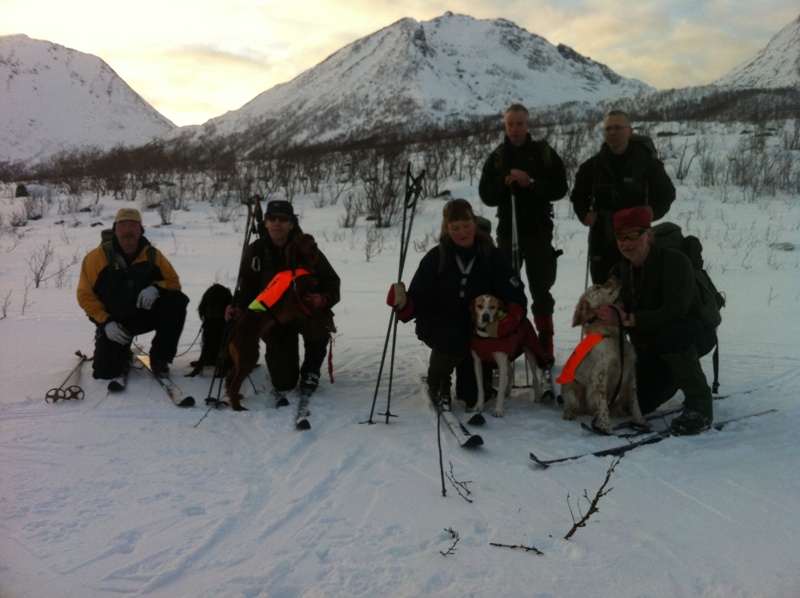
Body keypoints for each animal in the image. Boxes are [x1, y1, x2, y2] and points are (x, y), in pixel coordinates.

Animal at [225, 234, 334, 412]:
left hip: (241, 357)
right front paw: (330, 323)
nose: (316, 243)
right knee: (233, 382)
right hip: (249, 355)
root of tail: (234, 332)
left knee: (229, 379)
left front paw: (330, 319)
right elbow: (317, 311)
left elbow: (321, 307)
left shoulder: (307, 297)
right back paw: (237, 407)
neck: (298, 266)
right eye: (305, 240)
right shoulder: (297, 300)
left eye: (310, 238)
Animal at [560, 276, 648, 436]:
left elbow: (635, 401)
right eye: (597, 287)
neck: (613, 336)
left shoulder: (630, 372)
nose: (615, 276)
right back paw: (570, 414)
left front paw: (640, 421)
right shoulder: (599, 376)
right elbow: (603, 406)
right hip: (573, 393)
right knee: (569, 407)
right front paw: (607, 428)